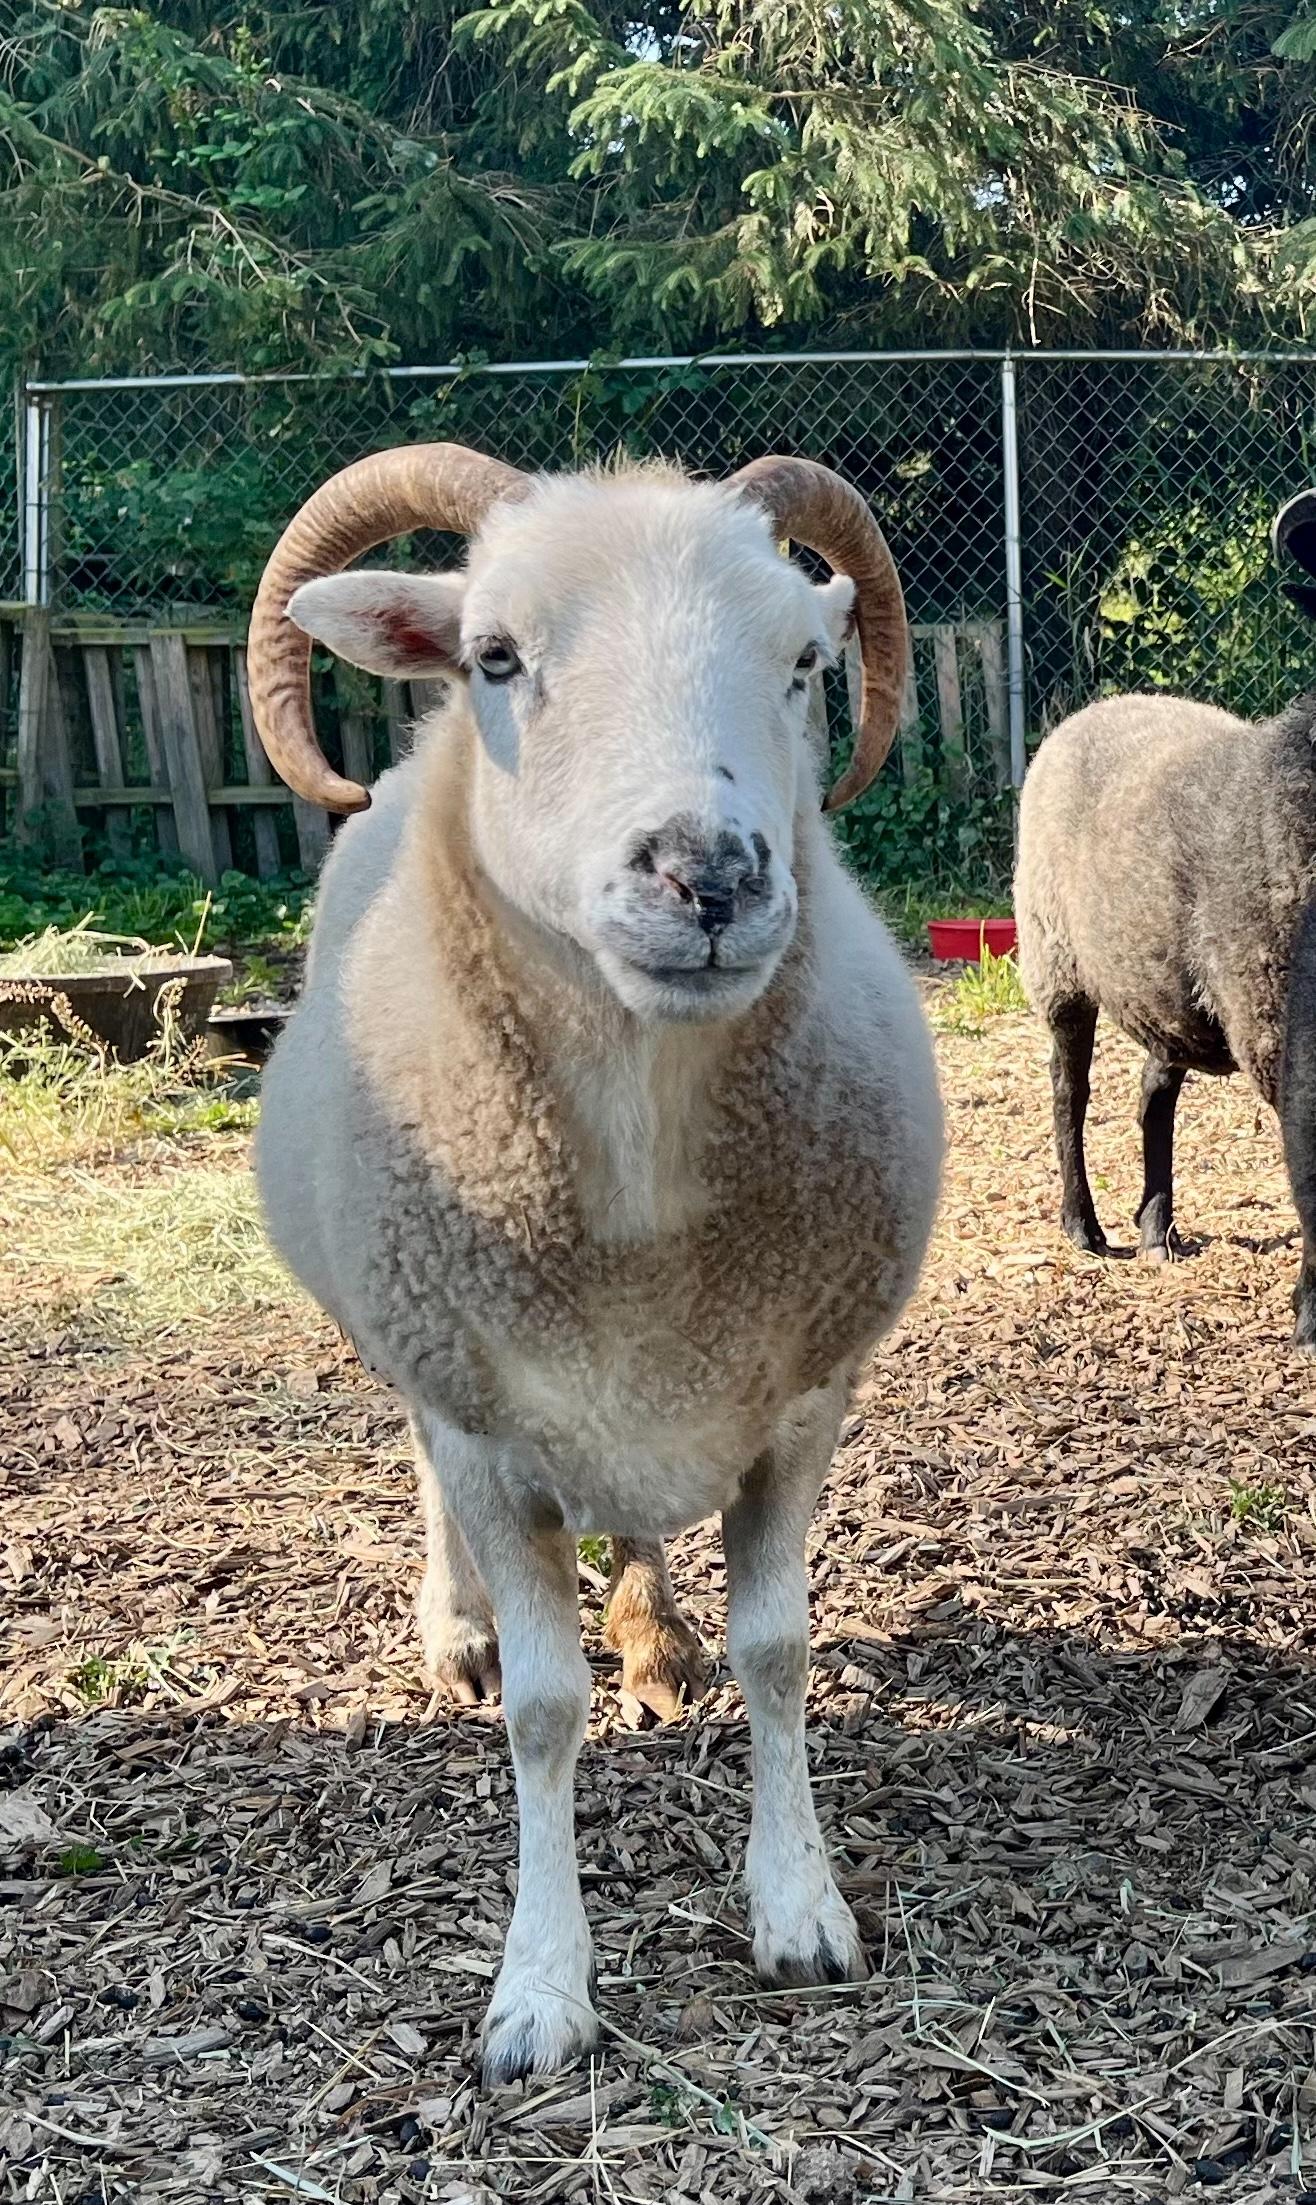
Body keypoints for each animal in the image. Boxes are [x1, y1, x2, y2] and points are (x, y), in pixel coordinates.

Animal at [246, 444, 944, 2083]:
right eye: (498, 656)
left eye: (803, 664)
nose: (711, 873)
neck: (640, 1170)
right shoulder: (486, 1425)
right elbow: (546, 1715)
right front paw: (539, 1989)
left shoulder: (797, 1404)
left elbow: (779, 1652)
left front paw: (799, 1908)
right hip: (422, 1355)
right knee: (426, 1484)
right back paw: (459, 1633)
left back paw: (653, 1626)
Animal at [1014, 486, 1316, 1347]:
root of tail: (1101, 707)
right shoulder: (1278, 1024)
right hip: (1055, 962)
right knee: (1068, 1091)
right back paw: (1083, 1228)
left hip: (1162, 984)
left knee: (1153, 1089)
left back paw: (1155, 1227)